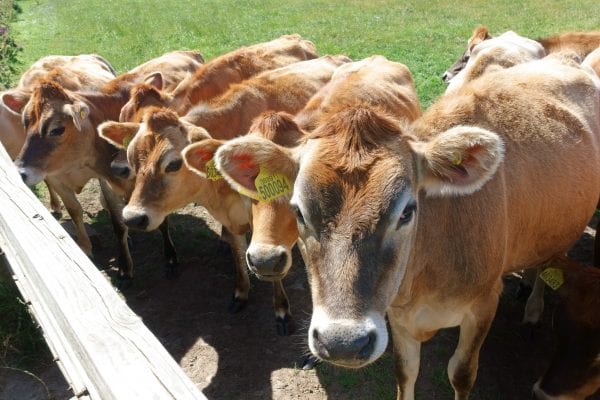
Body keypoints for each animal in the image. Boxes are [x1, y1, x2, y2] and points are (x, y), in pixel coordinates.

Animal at [99, 54, 346, 332]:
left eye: (173, 164)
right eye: (133, 156)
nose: (132, 217)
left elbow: (270, 266)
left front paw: (282, 311)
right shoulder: (229, 217)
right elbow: (239, 254)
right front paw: (241, 292)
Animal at [206, 54, 600, 398]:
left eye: (408, 211)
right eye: (299, 211)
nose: (342, 343)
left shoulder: (484, 303)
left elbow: (461, 373)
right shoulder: (394, 314)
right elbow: (404, 371)